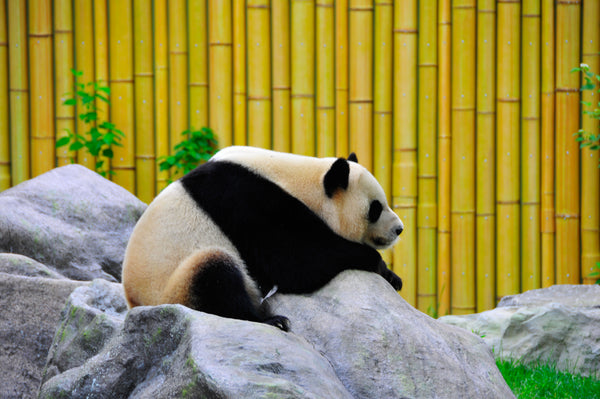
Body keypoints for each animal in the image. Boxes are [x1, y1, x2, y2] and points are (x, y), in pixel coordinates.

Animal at [122, 147, 404, 332]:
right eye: (375, 208)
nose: (399, 229)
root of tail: (134, 304)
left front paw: (393, 277)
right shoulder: (250, 203)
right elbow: (296, 263)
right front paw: (375, 262)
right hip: (171, 287)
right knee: (213, 276)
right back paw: (270, 321)